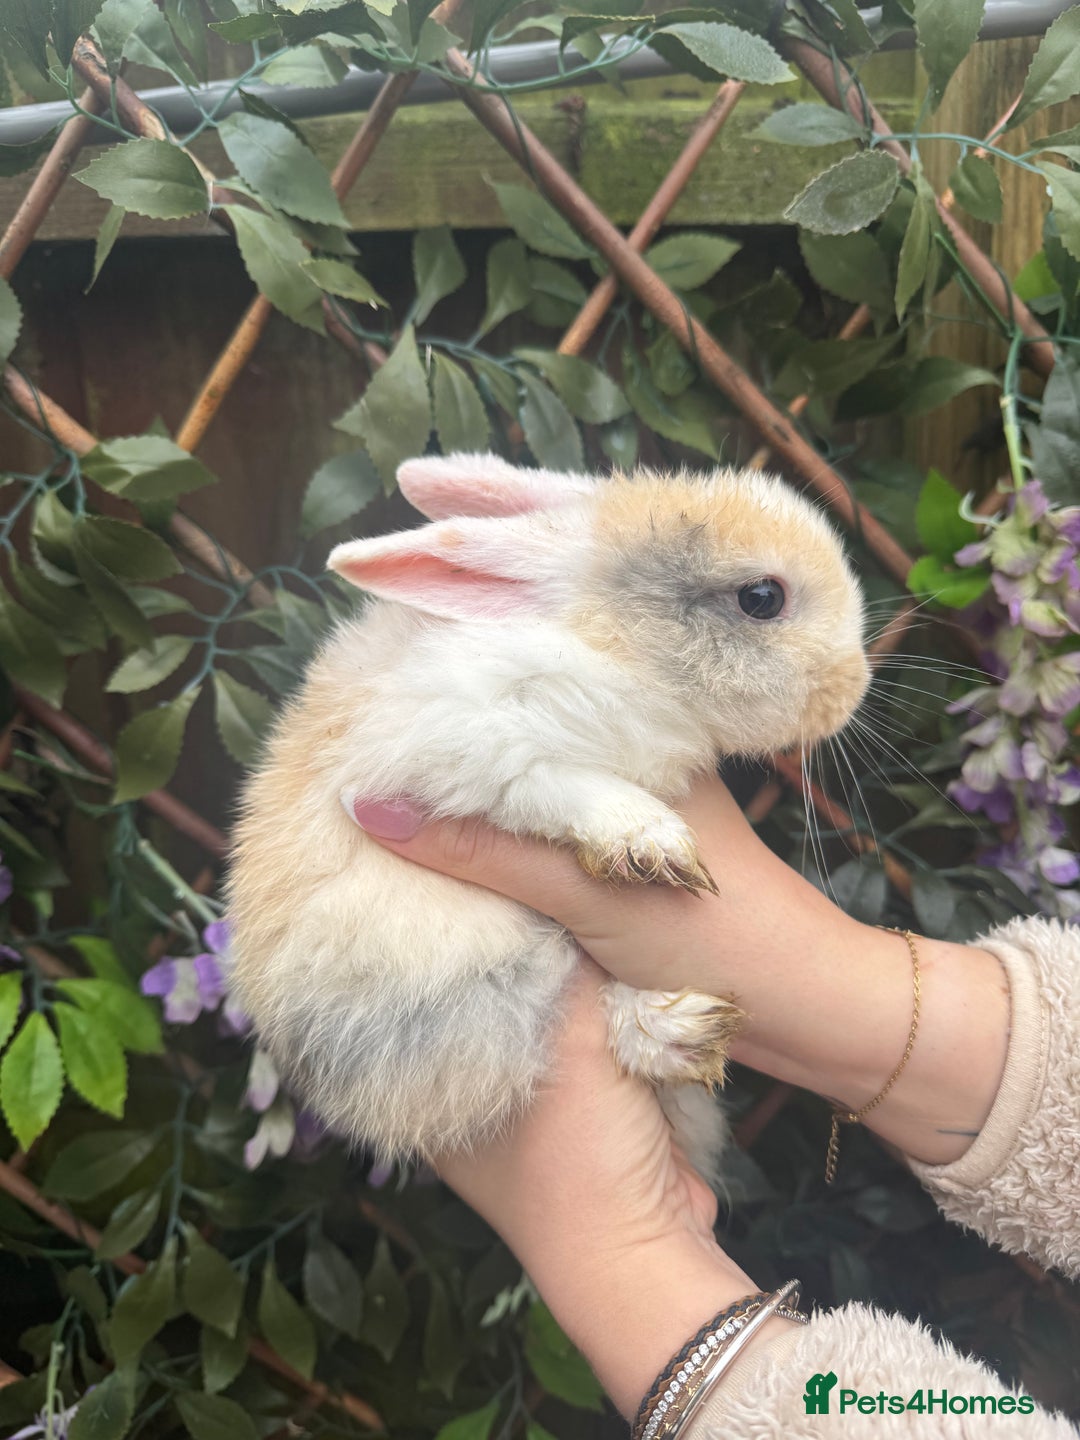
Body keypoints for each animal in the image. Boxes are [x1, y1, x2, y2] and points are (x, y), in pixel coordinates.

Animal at [226, 454, 870, 1182]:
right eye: (762, 597)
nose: (855, 686)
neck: (613, 647)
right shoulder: (453, 747)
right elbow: (552, 784)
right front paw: (652, 841)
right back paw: (674, 1029)